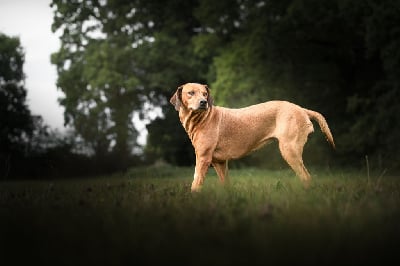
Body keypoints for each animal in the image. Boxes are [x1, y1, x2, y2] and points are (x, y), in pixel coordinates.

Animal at [170, 83, 336, 191]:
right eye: (191, 93)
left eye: (204, 94)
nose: (203, 102)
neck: (201, 118)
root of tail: (302, 109)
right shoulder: (220, 162)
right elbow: (226, 184)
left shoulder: (203, 158)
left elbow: (196, 183)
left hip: (289, 150)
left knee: (306, 177)